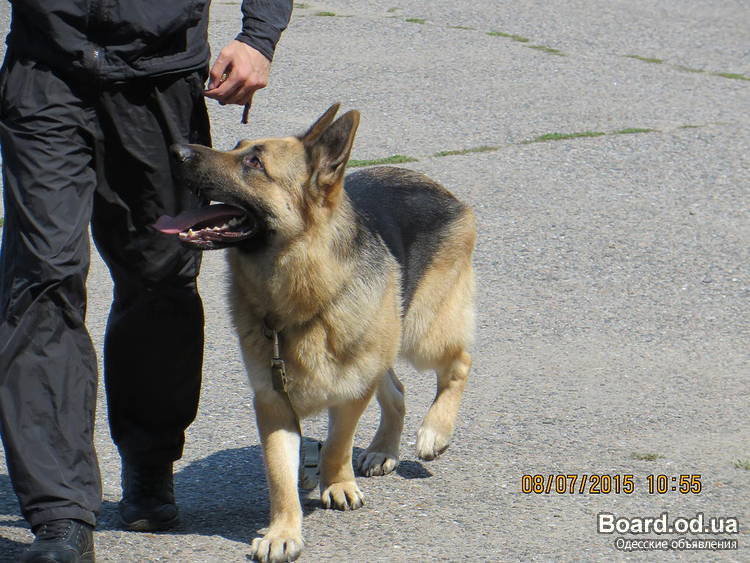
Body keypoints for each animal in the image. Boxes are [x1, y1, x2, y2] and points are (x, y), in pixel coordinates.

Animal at [156, 104, 475, 562]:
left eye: (254, 162)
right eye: (235, 146)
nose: (175, 150)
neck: (300, 293)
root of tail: (434, 185)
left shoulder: (351, 389)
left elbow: (339, 442)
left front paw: (336, 482)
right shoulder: (273, 404)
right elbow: (278, 474)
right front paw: (283, 530)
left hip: (420, 332)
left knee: (458, 363)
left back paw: (434, 432)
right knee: (396, 391)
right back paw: (384, 448)